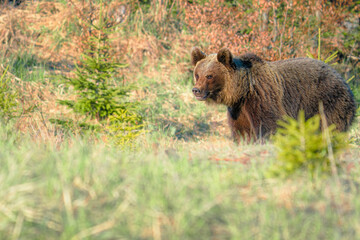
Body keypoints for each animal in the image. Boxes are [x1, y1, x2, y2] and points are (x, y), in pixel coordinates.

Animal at [190, 46, 356, 142]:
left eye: (209, 75)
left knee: (330, 126)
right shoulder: (238, 110)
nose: (196, 90)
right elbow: (241, 130)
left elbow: (271, 124)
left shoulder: (262, 97)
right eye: (197, 74)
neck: (243, 91)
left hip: (327, 101)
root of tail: (343, 79)